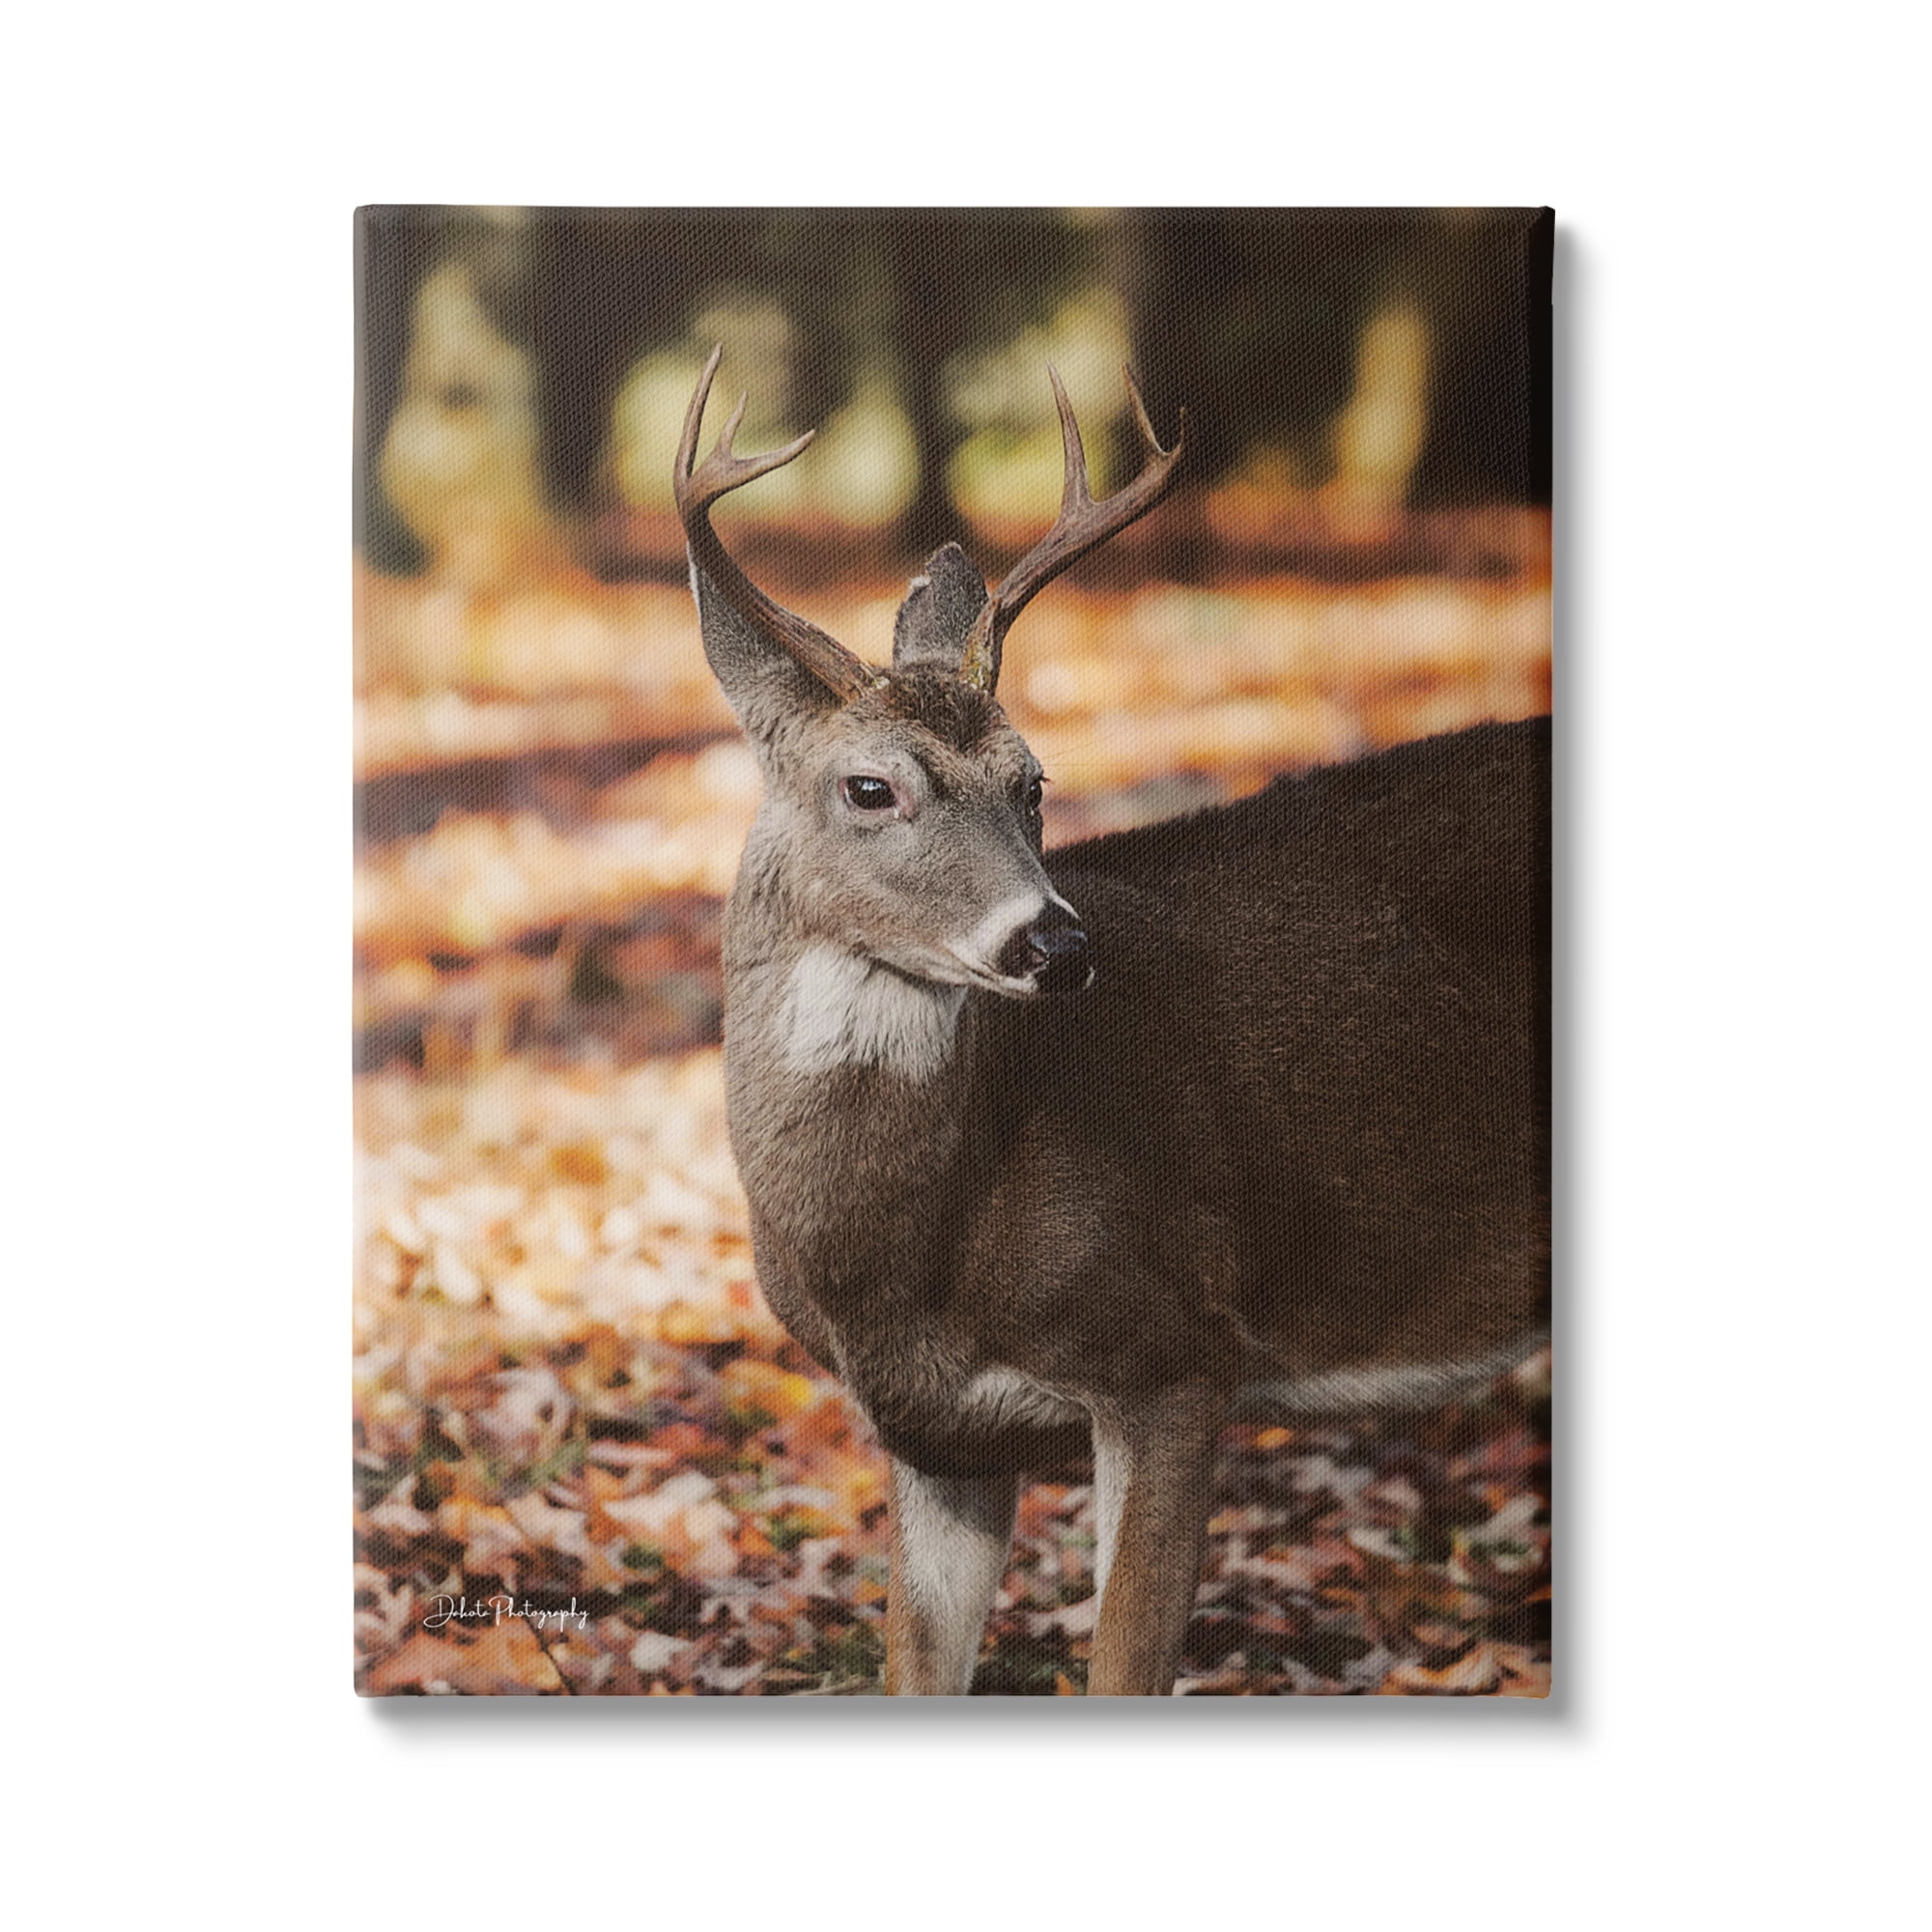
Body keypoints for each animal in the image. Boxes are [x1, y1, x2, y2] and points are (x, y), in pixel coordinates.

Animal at [673, 346, 1549, 1696]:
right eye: (870, 786)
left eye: (1033, 783)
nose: (1058, 944)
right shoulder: (934, 1436)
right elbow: (915, 1670)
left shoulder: (1177, 1350)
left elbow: (1123, 1666)